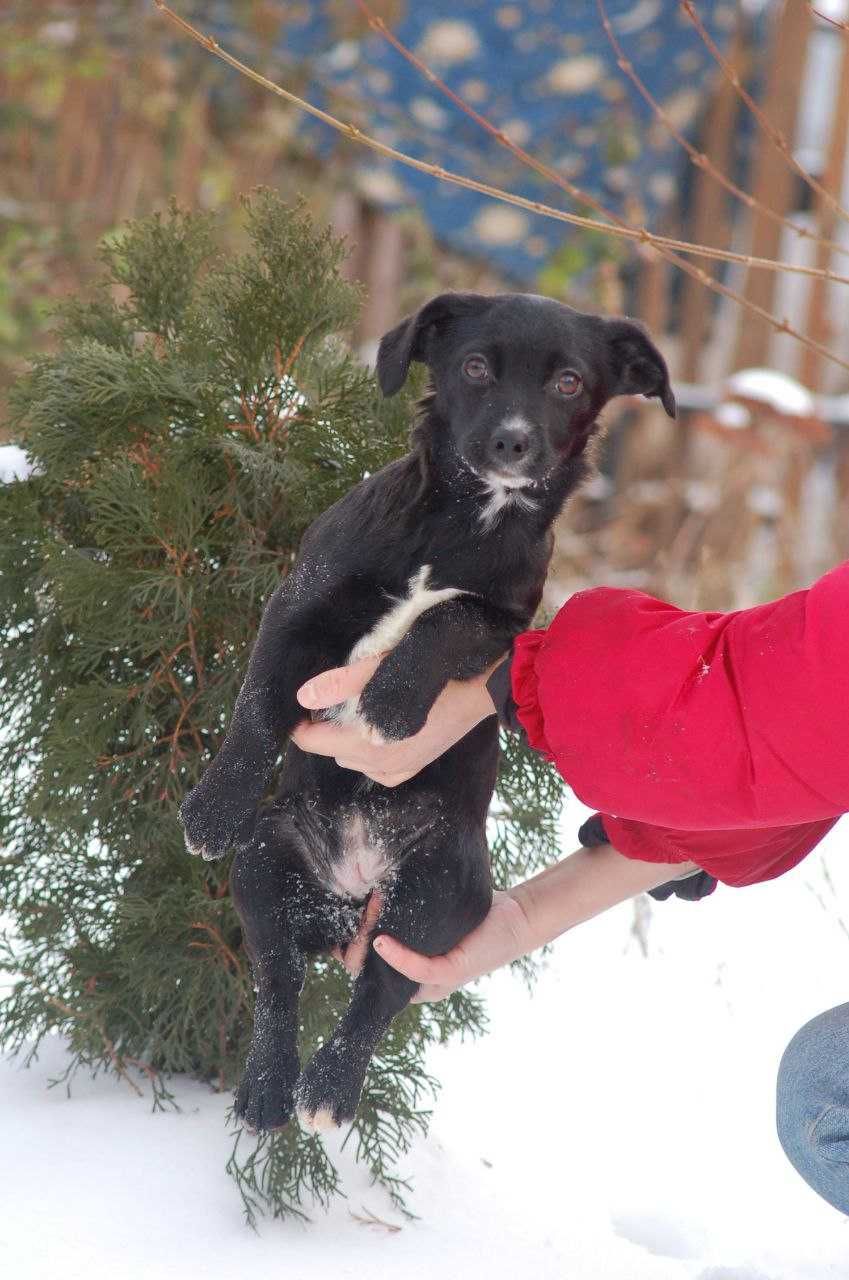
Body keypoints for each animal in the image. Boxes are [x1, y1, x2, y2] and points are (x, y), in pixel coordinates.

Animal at [180, 290, 676, 1131]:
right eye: (474, 367)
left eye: (569, 383)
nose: (512, 441)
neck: (458, 524)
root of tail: (350, 893)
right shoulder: (299, 604)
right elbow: (255, 708)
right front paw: (212, 806)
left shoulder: (508, 626)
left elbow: (449, 617)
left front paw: (389, 699)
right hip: (265, 858)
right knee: (277, 982)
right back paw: (270, 1088)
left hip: (442, 887)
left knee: (378, 994)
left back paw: (327, 1090)